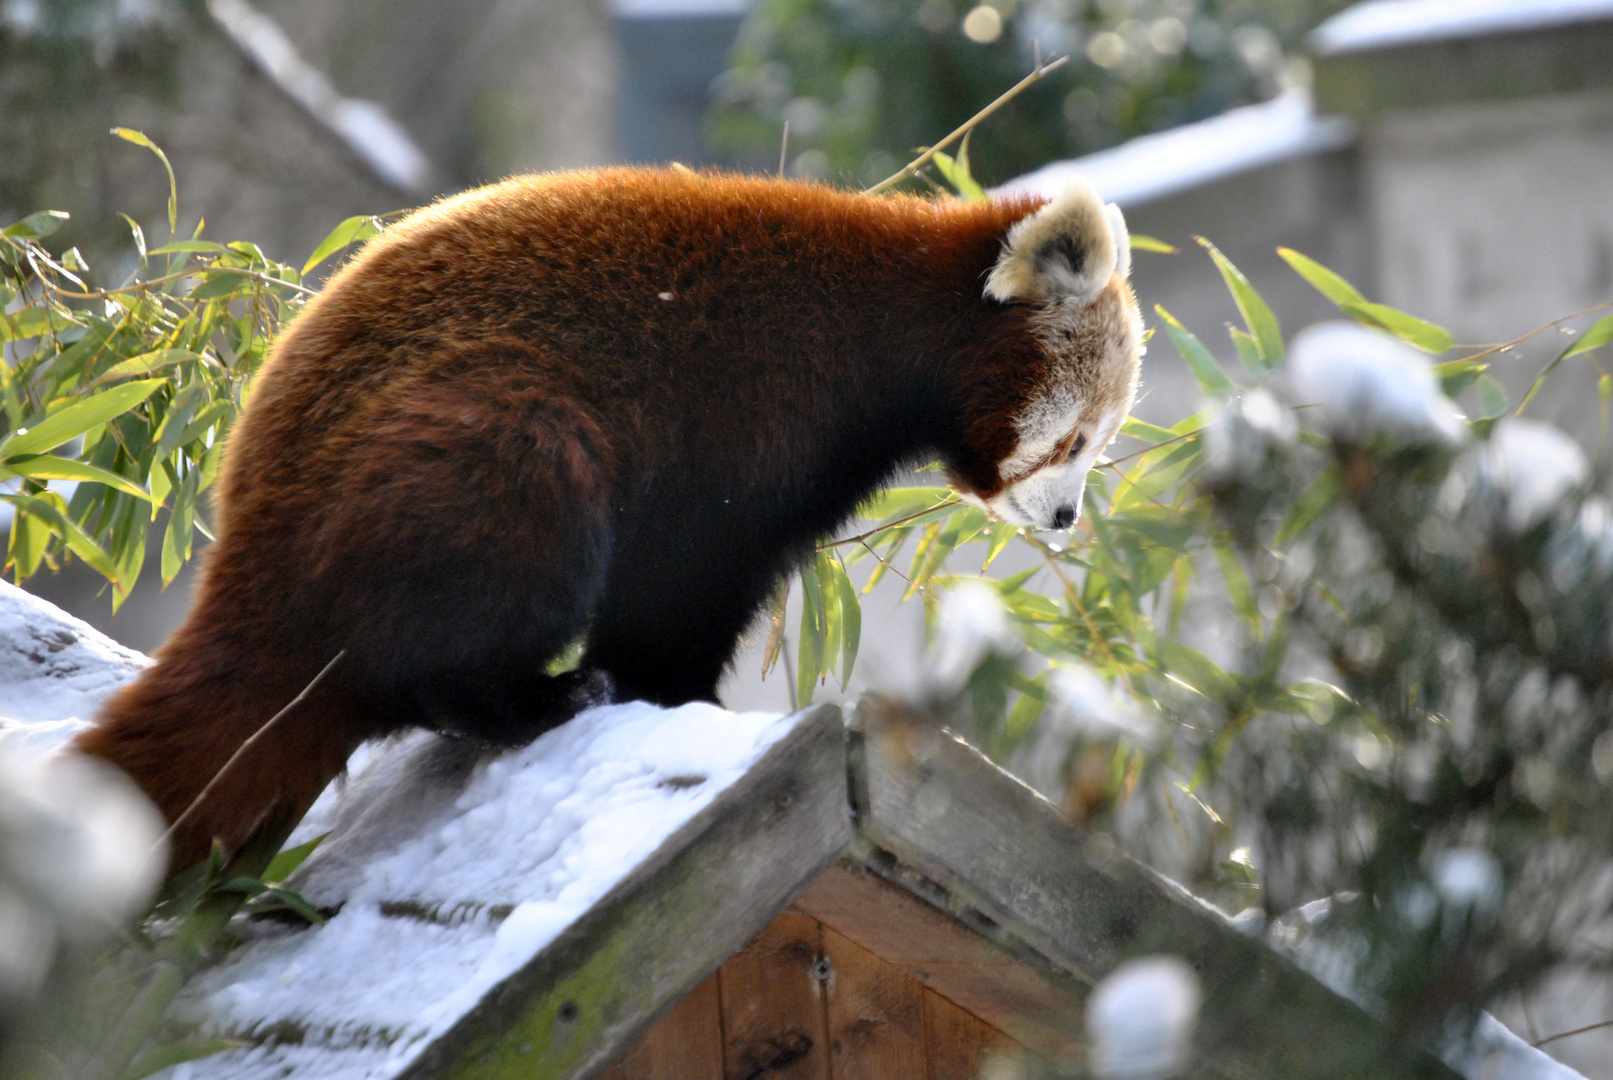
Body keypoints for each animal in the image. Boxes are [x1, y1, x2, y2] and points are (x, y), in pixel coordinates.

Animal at [72, 171, 1148, 876]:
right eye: (1073, 439)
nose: (1062, 518)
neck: (900, 316)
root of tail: (249, 543)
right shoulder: (753, 406)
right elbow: (682, 581)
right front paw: (679, 699)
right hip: (461, 450)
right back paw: (530, 698)